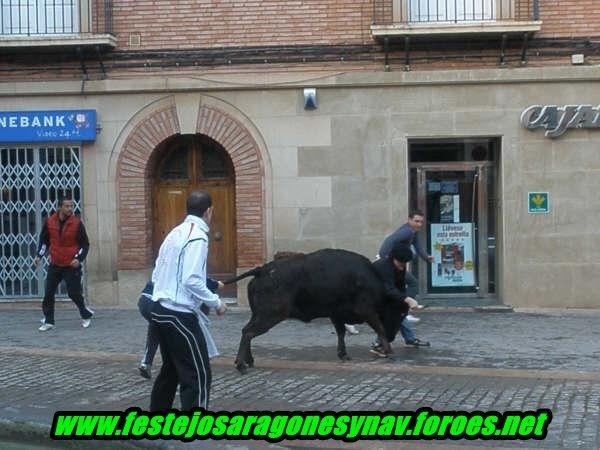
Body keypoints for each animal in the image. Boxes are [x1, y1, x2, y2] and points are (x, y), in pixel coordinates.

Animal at [223, 250, 410, 372]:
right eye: (400, 312)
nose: (393, 336)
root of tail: (262, 270)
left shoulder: (336, 315)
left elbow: (341, 332)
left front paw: (343, 355)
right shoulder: (367, 311)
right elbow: (379, 328)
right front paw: (390, 352)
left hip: (259, 315)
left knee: (247, 332)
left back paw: (248, 361)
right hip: (269, 316)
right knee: (248, 332)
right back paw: (241, 365)